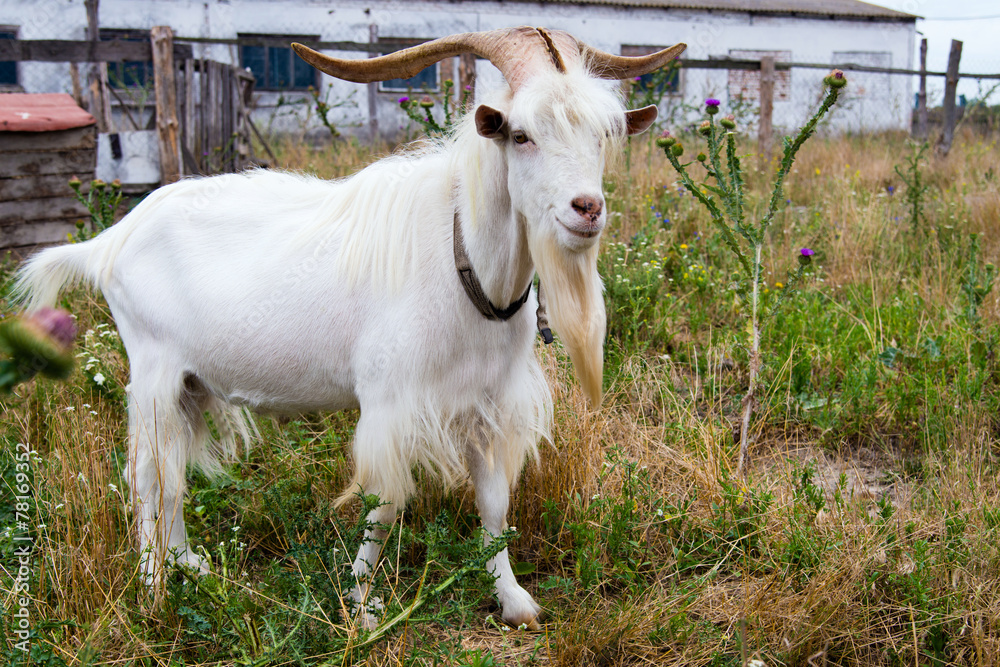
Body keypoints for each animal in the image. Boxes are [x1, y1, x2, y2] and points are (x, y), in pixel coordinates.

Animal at [13, 27, 684, 629]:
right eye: (521, 135)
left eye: (602, 136)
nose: (586, 210)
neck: (464, 262)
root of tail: (111, 240)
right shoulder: (390, 402)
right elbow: (382, 504)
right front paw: (362, 608)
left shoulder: (488, 403)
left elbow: (494, 504)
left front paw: (515, 602)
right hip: (152, 370)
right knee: (148, 475)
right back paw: (153, 588)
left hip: (190, 384)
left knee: (173, 471)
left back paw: (189, 567)